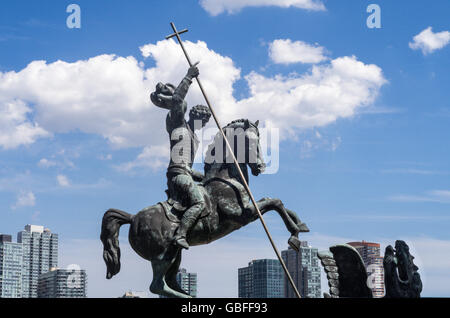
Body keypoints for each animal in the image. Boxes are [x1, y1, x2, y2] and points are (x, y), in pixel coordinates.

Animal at [100, 119, 308, 298]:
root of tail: (133, 218)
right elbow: (274, 202)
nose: (260, 167)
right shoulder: (241, 215)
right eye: (250, 142)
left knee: (169, 281)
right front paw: (294, 237)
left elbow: (272, 201)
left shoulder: (249, 209)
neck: (225, 179)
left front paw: (300, 226)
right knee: (157, 285)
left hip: (175, 254)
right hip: (161, 255)